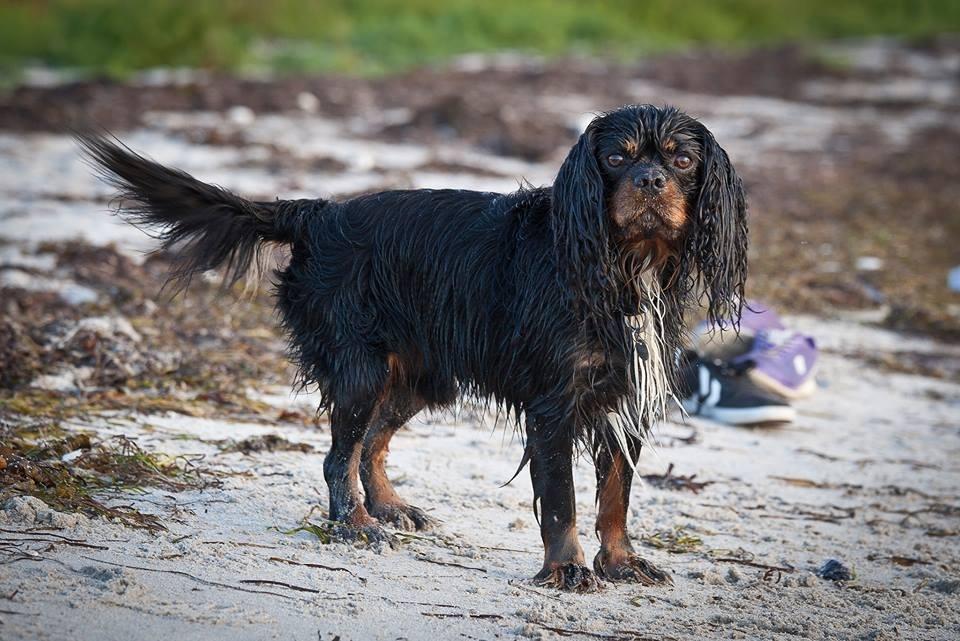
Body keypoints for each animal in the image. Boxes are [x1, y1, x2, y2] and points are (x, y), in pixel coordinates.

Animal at [79, 105, 748, 592]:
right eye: (614, 158)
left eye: (682, 159)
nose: (650, 180)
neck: (623, 267)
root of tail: (317, 214)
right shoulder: (553, 407)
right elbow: (563, 502)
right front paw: (566, 569)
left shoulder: (623, 403)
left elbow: (616, 497)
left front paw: (620, 562)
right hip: (360, 368)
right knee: (339, 455)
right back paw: (355, 524)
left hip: (419, 377)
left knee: (370, 444)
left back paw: (388, 507)